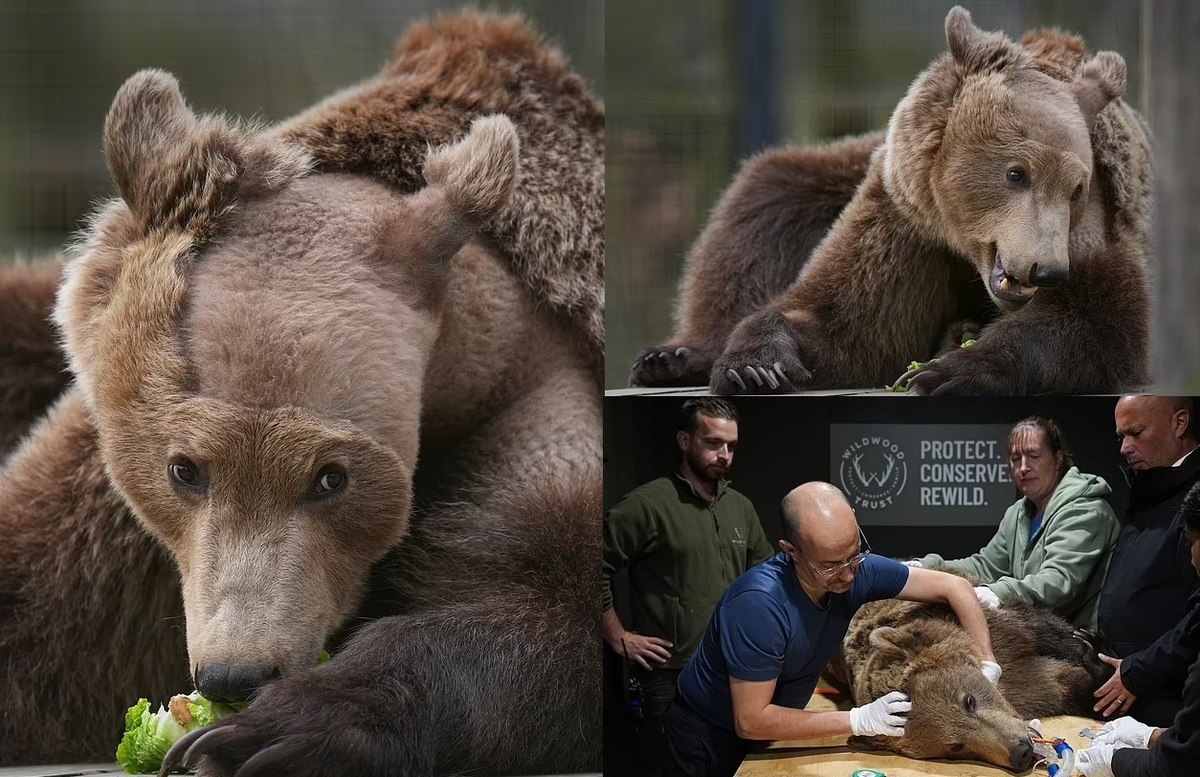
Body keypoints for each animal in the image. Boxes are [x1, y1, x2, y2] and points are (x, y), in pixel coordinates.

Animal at [0, 13, 600, 777]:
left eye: (331, 478)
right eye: (183, 469)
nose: (235, 674)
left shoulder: (528, 403)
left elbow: (556, 600)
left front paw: (273, 728)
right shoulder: (103, 530)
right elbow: (35, 612)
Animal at [633, 3, 1147, 395]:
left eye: (1076, 190)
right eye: (1016, 173)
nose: (1046, 270)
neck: (961, 246)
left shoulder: (1093, 232)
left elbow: (1097, 317)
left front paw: (947, 372)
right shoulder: (903, 222)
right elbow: (847, 322)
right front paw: (757, 365)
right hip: (835, 172)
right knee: (764, 208)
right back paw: (676, 355)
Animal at [835, 597, 1113, 767]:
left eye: (969, 700)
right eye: (956, 746)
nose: (1021, 752)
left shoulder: (1009, 641)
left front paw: (1092, 654)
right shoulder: (1034, 685)